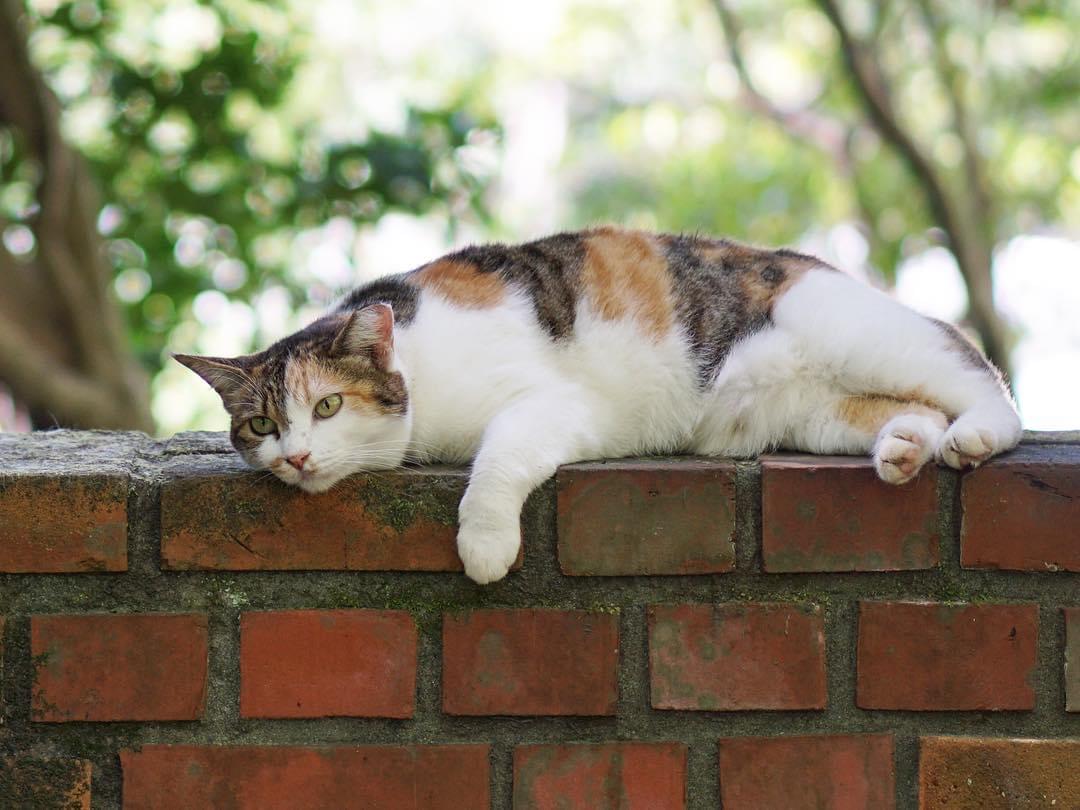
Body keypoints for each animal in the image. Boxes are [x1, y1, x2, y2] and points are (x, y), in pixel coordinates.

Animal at [174, 225, 1019, 587]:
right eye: (262, 424)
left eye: (328, 406)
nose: (296, 456)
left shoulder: (549, 403)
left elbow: (498, 460)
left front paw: (484, 545)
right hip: (804, 411)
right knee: (910, 410)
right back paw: (904, 448)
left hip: (858, 335)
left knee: (981, 382)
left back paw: (975, 437)